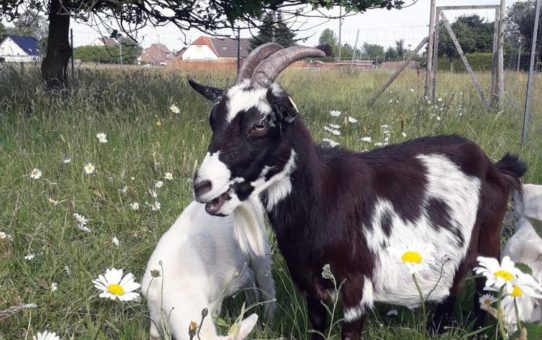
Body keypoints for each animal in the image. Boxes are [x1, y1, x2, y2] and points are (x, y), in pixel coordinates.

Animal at [143, 199, 276, 340]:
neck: (181, 286)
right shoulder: (154, 306)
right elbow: (154, 333)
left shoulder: (214, 301)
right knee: (249, 276)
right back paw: (252, 304)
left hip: (258, 241)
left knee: (266, 282)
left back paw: (268, 318)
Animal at [189, 43, 528, 338]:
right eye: (213, 119)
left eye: (259, 125)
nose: (202, 185)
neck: (324, 195)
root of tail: (494, 166)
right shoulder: (310, 287)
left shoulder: (356, 288)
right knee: (450, 293)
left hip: (488, 240)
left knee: (483, 293)